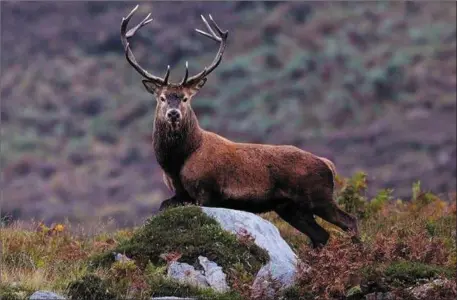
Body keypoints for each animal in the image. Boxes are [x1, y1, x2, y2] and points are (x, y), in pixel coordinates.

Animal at [119, 5, 358, 248]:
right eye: (162, 98)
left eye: (185, 98)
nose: (174, 113)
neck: (177, 161)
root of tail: (328, 165)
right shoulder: (180, 194)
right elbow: (161, 207)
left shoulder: (206, 190)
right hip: (290, 207)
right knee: (321, 235)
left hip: (318, 195)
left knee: (349, 221)